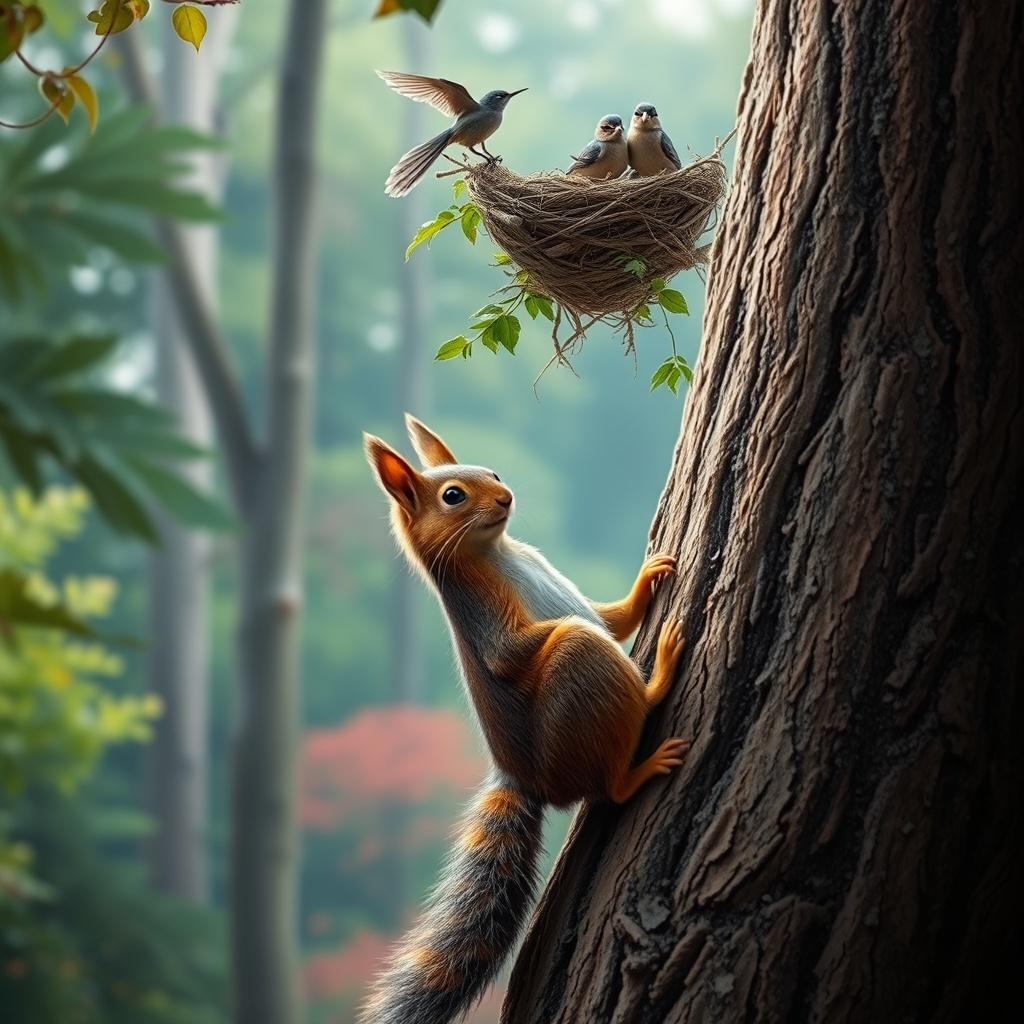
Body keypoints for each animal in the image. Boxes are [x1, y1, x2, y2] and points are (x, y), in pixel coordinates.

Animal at [359, 415, 690, 1024]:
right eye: (453, 496)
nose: (507, 495)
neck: (498, 551)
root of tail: (530, 777)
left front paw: (648, 576)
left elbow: (612, 615)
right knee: (610, 777)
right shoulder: (488, 619)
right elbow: (521, 650)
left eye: (491, 471)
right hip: (580, 673)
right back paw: (655, 686)